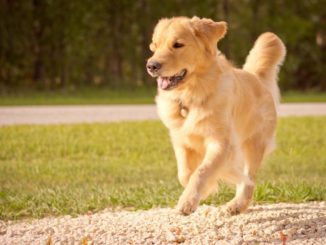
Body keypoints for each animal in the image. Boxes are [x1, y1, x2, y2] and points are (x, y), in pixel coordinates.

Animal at [145, 16, 286, 214]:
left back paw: (236, 205)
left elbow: (202, 171)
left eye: (178, 44)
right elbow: (185, 173)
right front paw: (205, 190)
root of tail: (255, 76)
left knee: (249, 180)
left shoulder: (221, 143)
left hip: (254, 143)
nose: (151, 65)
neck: (192, 96)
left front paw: (188, 202)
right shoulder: (180, 140)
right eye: (155, 46)